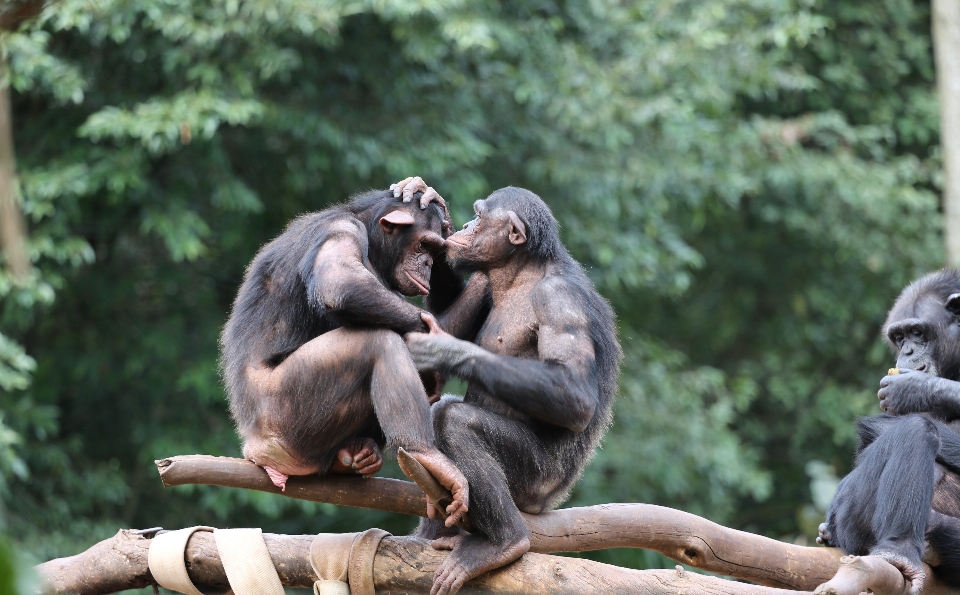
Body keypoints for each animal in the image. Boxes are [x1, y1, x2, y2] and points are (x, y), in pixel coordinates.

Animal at [219, 178, 474, 528]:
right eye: (424, 246)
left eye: (437, 252)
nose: (428, 264)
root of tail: (256, 448)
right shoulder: (341, 230)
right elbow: (341, 284)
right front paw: (434, 340)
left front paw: (425, 193)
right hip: (288, 410)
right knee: (380, 341)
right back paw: (425, 454)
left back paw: (359, 453)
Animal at [404, 182, 624, 595]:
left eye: (480, 215)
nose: (466, 224)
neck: (520, 275)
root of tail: (550, 502)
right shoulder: (481, 281)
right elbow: (444, 318)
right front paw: (426, 198)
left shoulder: (560, 300)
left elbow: (574, 393)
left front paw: (444, 349)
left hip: (535, 480)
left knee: (456, 420)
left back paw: (504, 542)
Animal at [816, 268, 960, 592]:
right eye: (899, 337)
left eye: (918, 333)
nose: (907, 350)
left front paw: (913, 389)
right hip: (854, 525)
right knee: (917, 430)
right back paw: (900, 551)